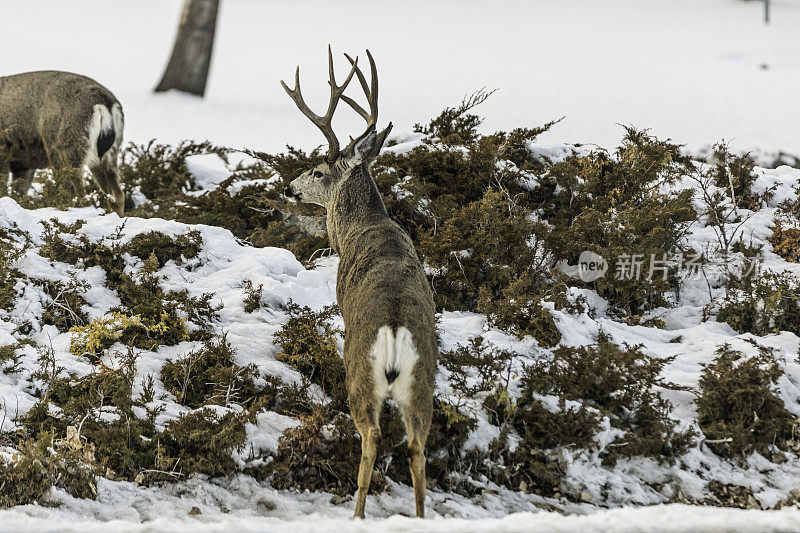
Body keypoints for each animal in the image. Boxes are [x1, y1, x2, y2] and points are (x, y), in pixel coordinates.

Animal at [0, 70, 125, 214]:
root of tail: (106, 103)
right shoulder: (23, 164)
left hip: (64, 148)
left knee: (77, 192)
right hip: (108, 156)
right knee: (117, 194)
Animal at [282, 47, 438, 516]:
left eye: (318, 171)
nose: (288, 188)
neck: (361, 227)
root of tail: (395, 332)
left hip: (360, 370)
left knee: (372, 435)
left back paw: (357, 511)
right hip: (423, 382)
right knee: (418, 447)